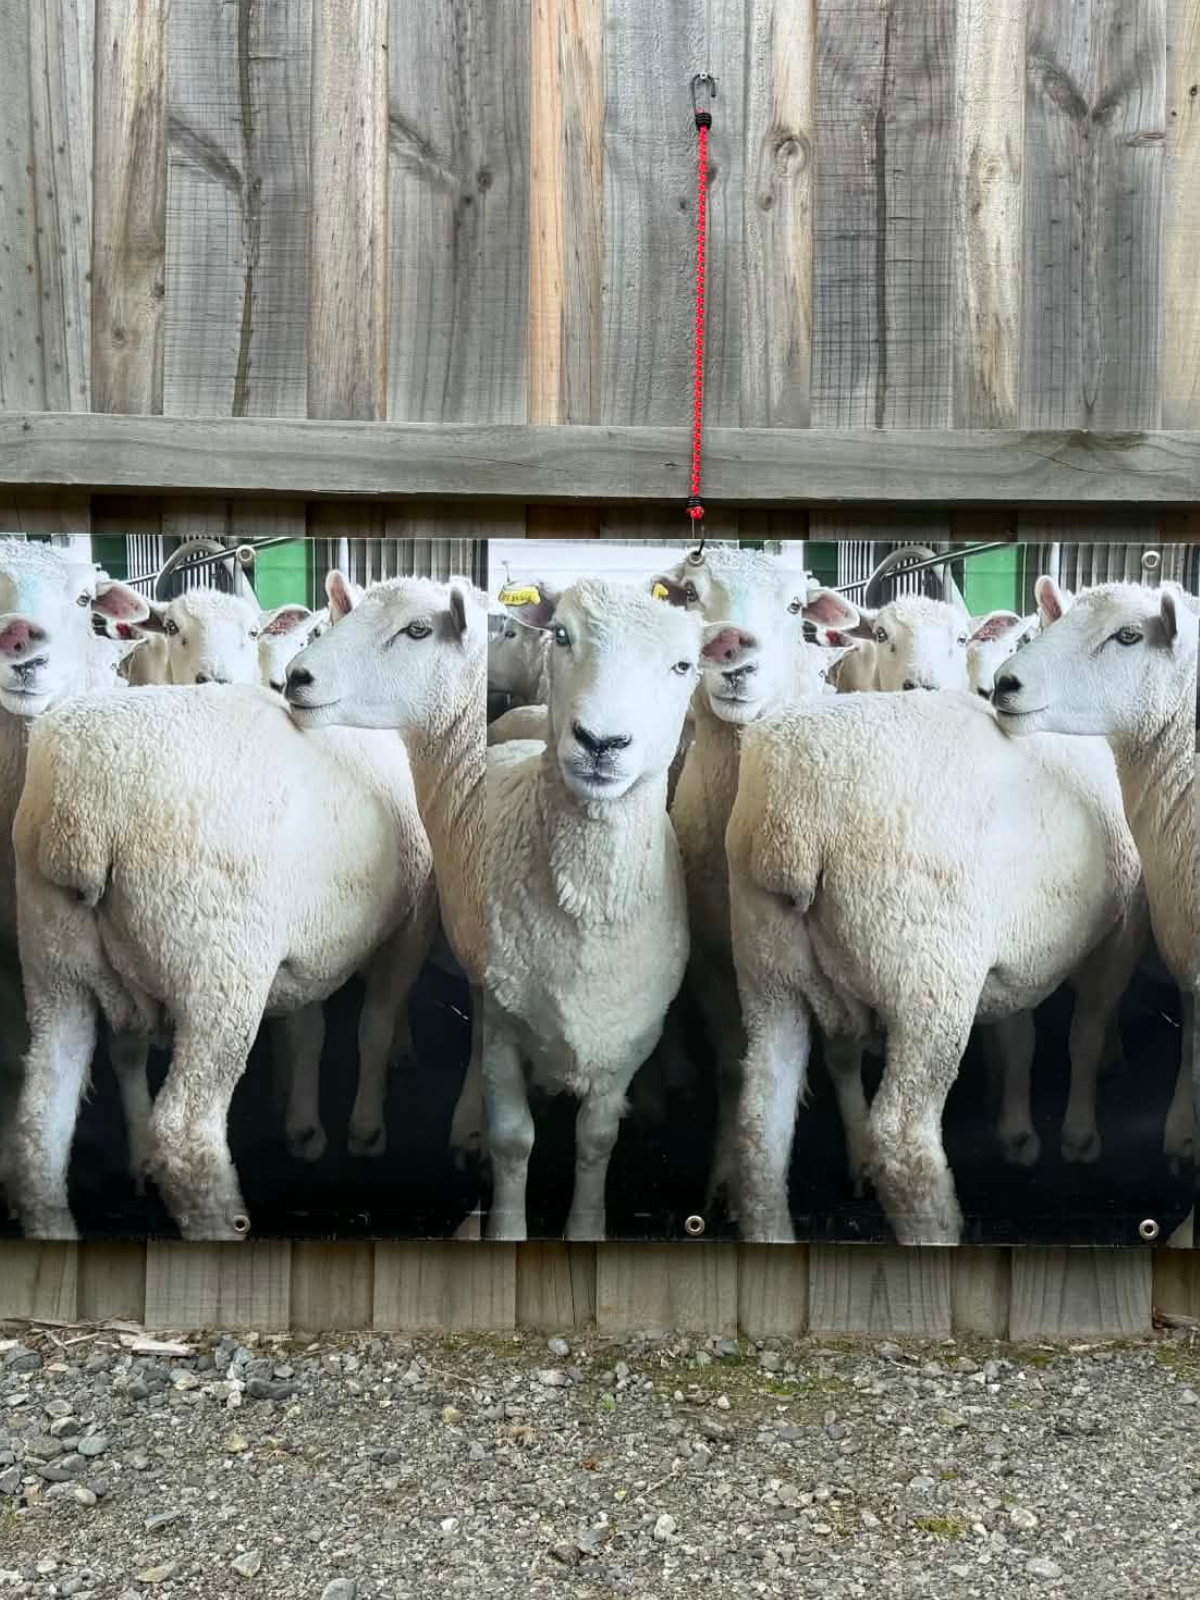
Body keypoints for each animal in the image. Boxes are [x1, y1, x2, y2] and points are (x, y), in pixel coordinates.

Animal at [285, 574, 488, 1164]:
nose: (296, 676)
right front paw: (304, 1126)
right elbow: (309, 1029)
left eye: (418, 630)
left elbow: (376, 1029)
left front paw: (370, 1128)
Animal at [483, 578, 702, 1241]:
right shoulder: (500, 1020)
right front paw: (505, 1230)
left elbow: (597, 1139)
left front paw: (585, 1230)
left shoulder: (628, 1036)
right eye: (561, 635)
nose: (601, 742)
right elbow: (512, 1139)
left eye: (684, 666)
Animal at [724, 686, 1145, 1245]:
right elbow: (1087, 1031)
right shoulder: (1122, 930)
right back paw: (938, 1228)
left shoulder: (1014, 962)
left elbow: (1020, 1036)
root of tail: (792, 821)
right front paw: (1079, 1136)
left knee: (759, 1123)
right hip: (927, 979)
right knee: (904, 1140)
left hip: (768, 974)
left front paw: (1018, 1132)